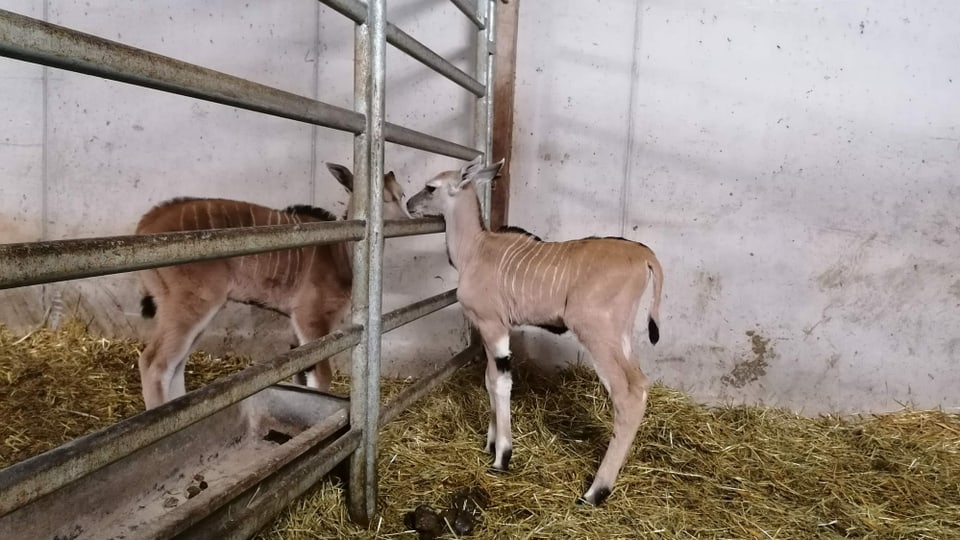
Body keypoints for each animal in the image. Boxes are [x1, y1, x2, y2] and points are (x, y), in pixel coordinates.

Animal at [132, 165, 408, 410]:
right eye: (382, 198)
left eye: (401, 195)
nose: (407, 221)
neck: (340, 254)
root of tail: (147, 222)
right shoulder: (310, 317)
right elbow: (321, 374)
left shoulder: (298, 326)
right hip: (191, 304)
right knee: (154, 363)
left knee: (176, 365)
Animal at [404, 156, 660, 506]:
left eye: (430, 187)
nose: (409, 204)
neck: (476, 249)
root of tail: (644, 255)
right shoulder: (492, 330)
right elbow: (489, 379)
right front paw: (489, 443)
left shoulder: (493, 326)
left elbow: (501, 383)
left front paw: (502, 457)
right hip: (620, 337)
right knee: (642, 384)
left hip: (596, 334)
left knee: (628, 393)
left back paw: (595, 492)